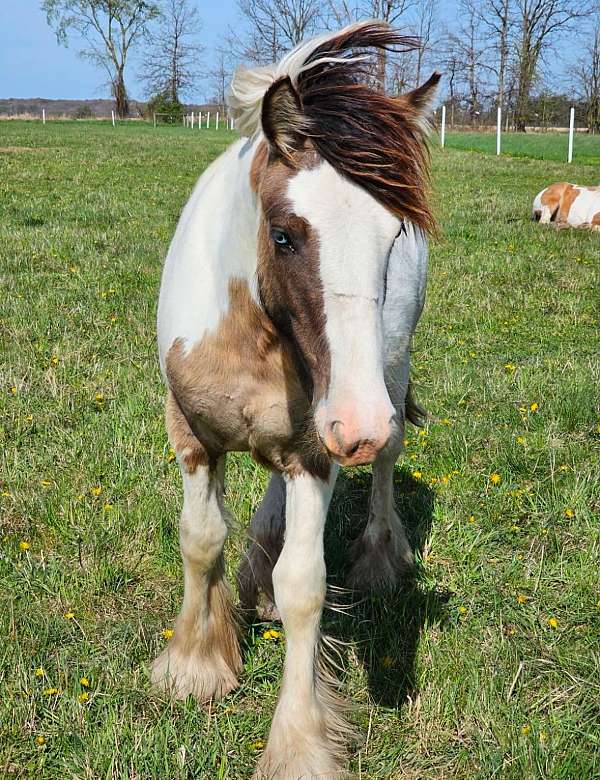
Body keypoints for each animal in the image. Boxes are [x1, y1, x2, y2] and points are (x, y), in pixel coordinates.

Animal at [152, 22, 438, 780]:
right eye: (283, 235)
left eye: (394, 237)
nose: (358, 425)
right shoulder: (193, 435)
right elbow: (200, 540)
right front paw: (195, 665)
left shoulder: (318, 447)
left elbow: (306, 585)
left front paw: (299, 745)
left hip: (383, 385)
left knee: (385, 470)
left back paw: (378, 561)